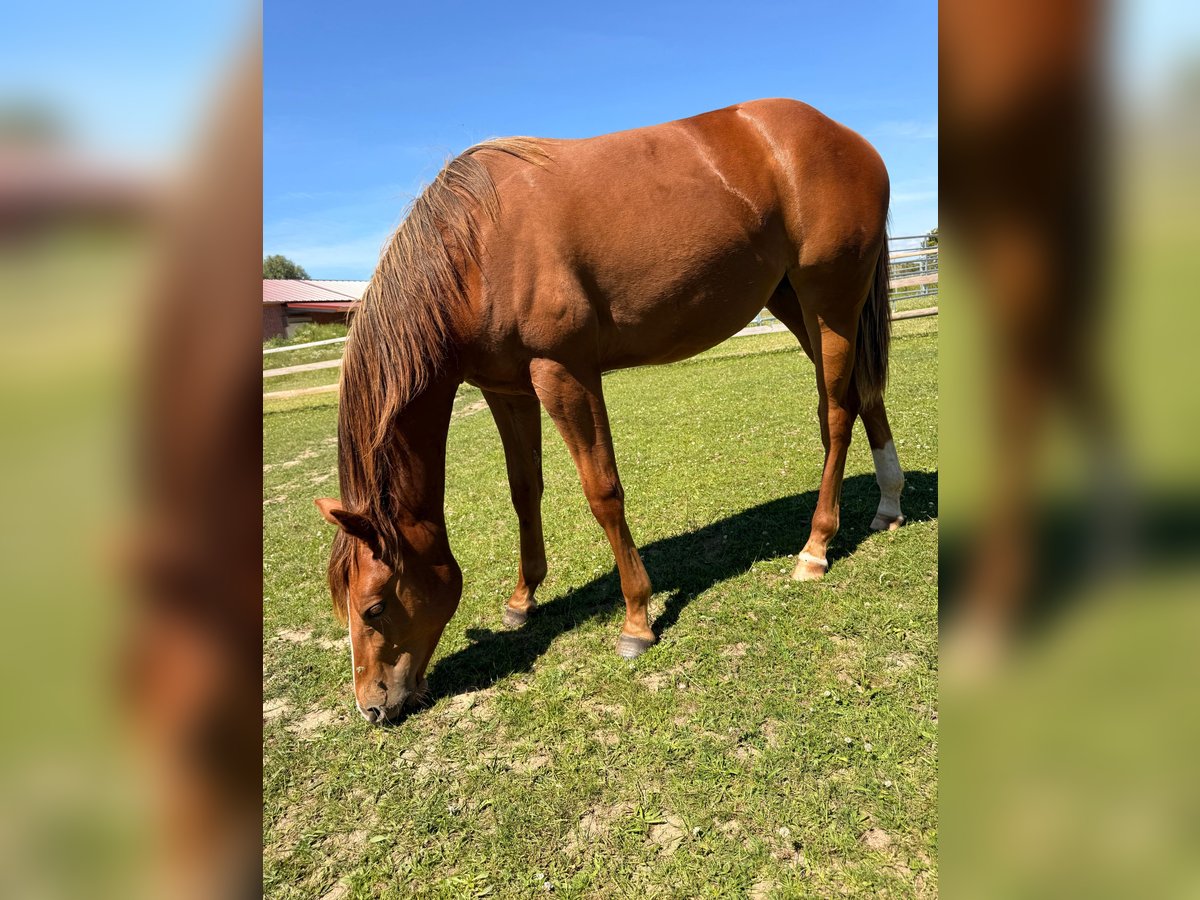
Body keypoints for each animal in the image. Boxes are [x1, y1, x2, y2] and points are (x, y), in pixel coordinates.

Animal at [314, 98, 905, 725]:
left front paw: (637, 622)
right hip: (795, 300)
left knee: (837, 414)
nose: (372, 709)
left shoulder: (563, 373)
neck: (473, 251)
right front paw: (523, 599)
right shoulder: (508, 390)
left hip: (830, 300)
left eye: (375, 607)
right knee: (864, 396)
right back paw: (889, 504)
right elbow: (524, 490)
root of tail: (846, 137)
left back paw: (815, 548)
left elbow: (602, 492)